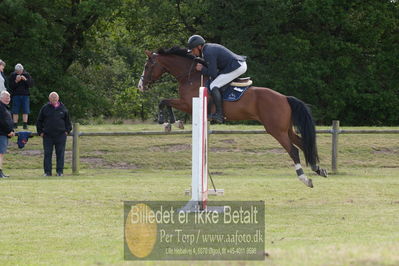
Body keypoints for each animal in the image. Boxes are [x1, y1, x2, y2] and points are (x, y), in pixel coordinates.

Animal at [138, 46, 328, 187]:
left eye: (147, 66)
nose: (140, 86)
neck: (190, 76)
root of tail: (284, 98)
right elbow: (166, 102)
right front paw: (173, 123)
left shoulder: (188, 104)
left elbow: (163, 101)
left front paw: (167, 123)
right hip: (286, 129)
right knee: (303, 144)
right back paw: (319, 169)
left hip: (276, 130)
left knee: (293, 150)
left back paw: (305, 178)